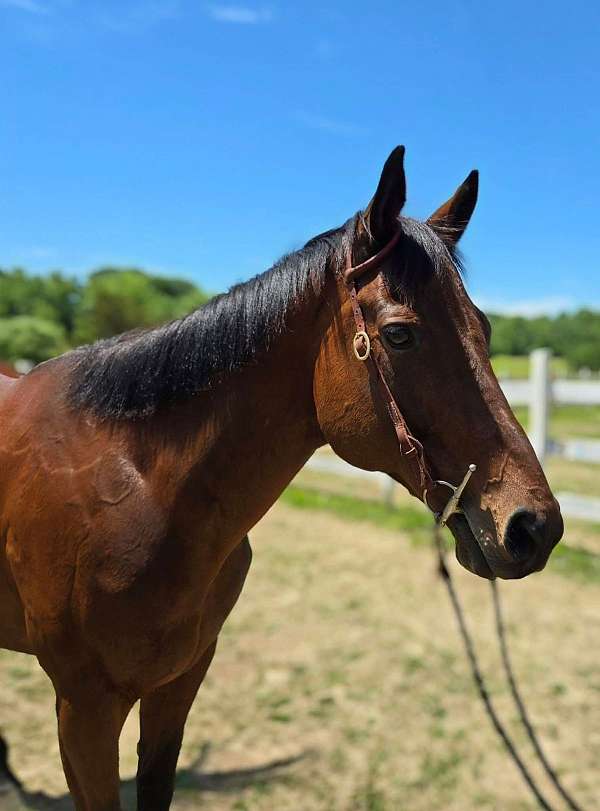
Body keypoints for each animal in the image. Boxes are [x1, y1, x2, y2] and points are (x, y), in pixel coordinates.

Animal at [0, 146, 563, 810]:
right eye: (399, 334)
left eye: (486, 329)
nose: (533, 526)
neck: (136, 491)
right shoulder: (82, 710)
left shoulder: (177, 686)